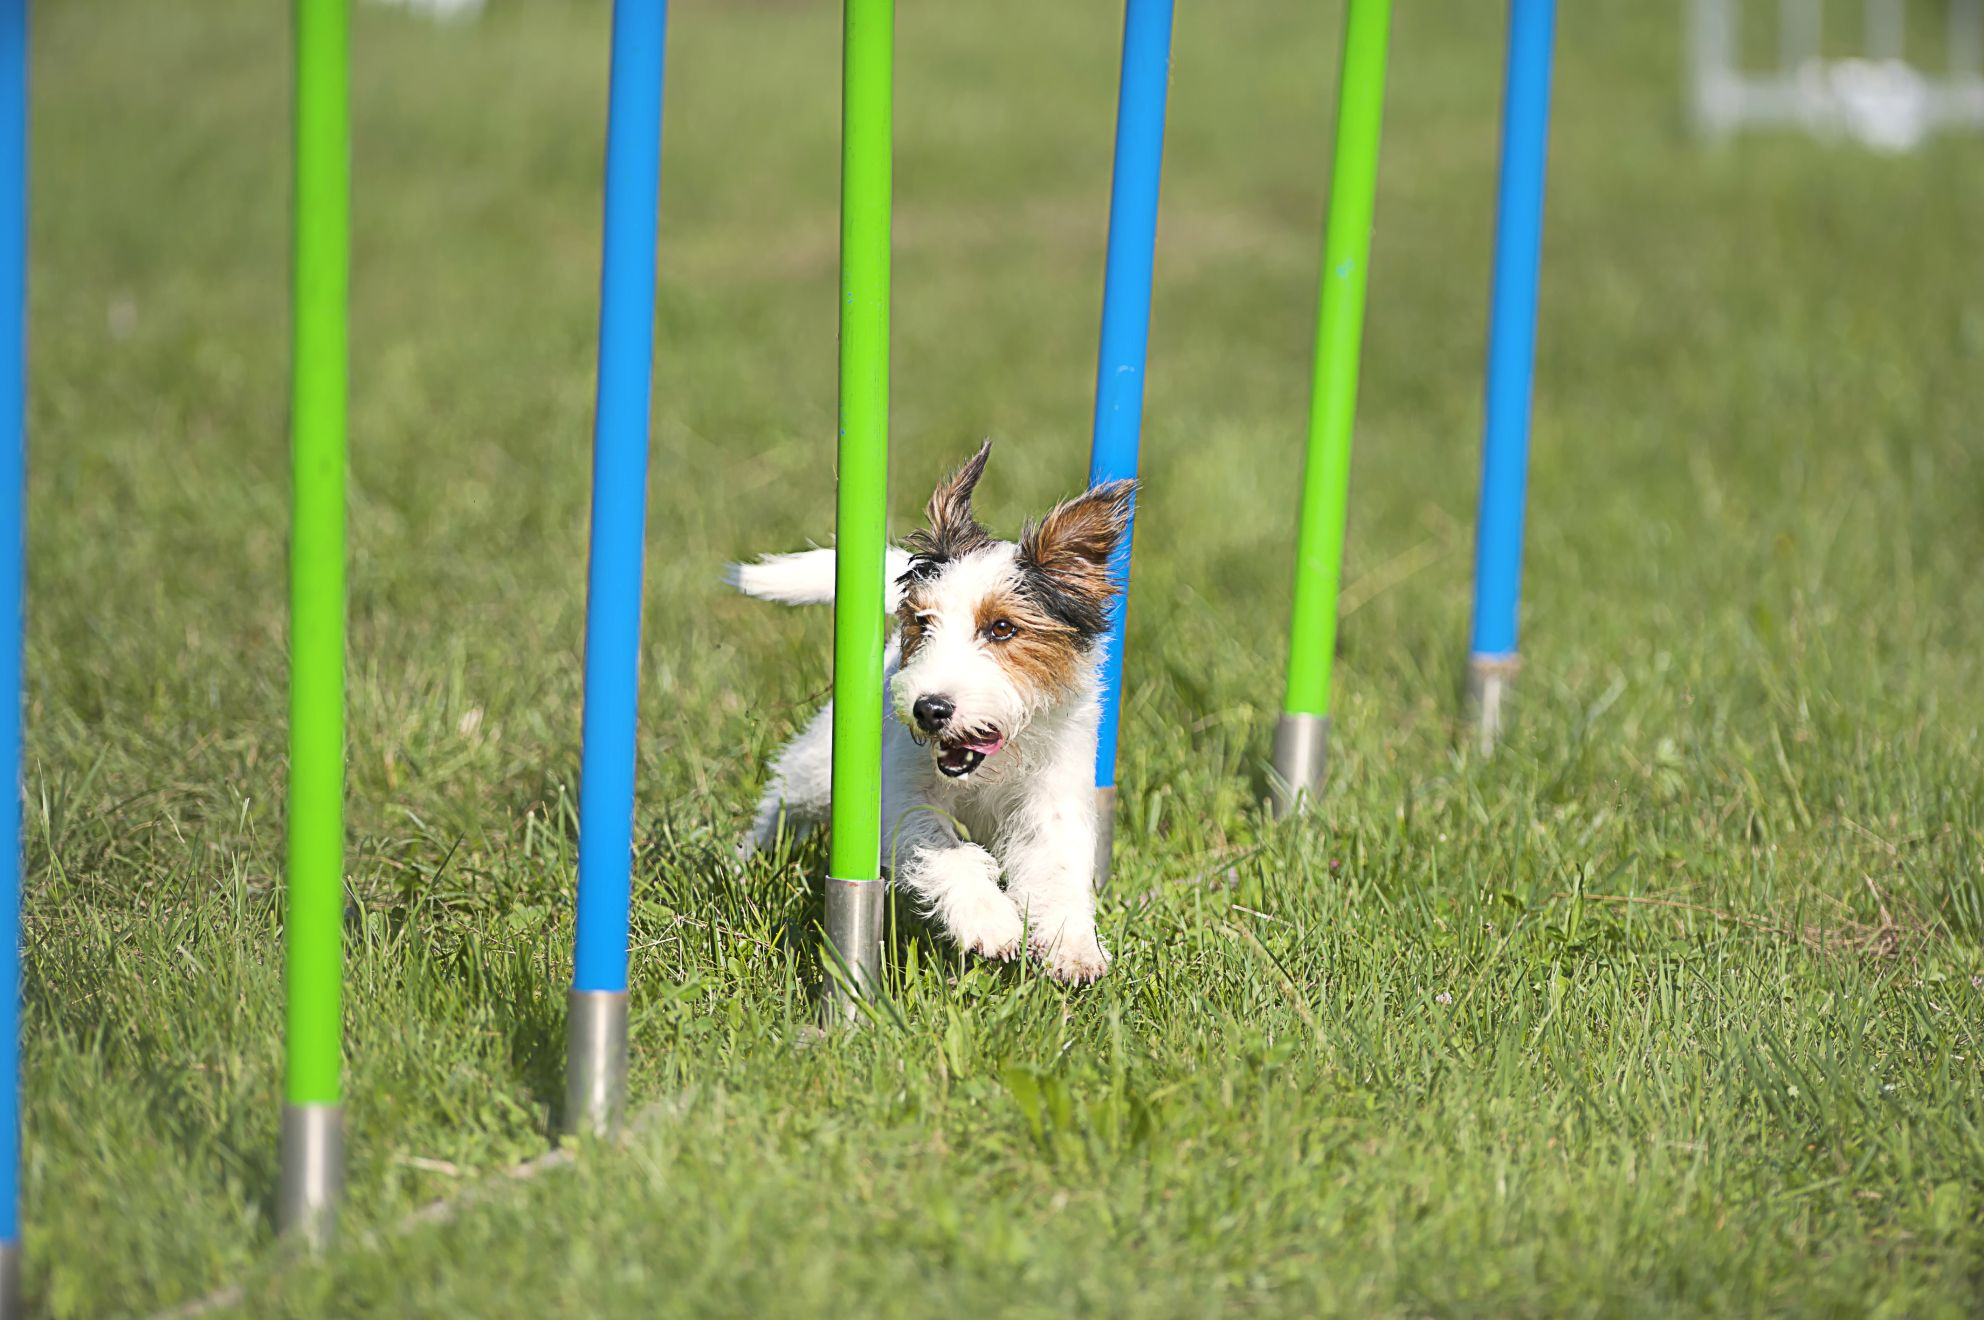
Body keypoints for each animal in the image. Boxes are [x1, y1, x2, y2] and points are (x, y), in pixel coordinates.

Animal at [730, 440, 1134, 976]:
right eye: (922, 621)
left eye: (1002, 628)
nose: (930, 709)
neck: (988, 772)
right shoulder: (900, 793)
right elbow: (945, 849)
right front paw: (990, 921)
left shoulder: (1054, 796)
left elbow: (1057, 867)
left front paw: (1074, 947)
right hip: (816, 769)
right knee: (782, 802)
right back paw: (743, 862)